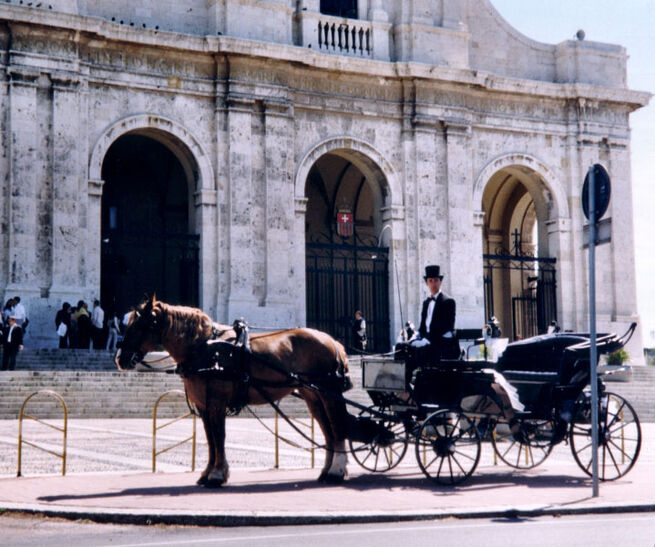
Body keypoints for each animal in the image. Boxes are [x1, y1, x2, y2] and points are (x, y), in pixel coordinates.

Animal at [118, 298, 354, 486]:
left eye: (139, 326)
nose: (120, 359)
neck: (204, 347)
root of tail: (332, 341)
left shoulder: (216, 401)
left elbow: (218, 435)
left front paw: (217, 475)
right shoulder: (203, 405)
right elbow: (210, 438)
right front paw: (207, 473)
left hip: (328, 393)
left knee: (337, 428)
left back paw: (336, 471)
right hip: (313, 396)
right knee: (328, 431)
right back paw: (326, 471)